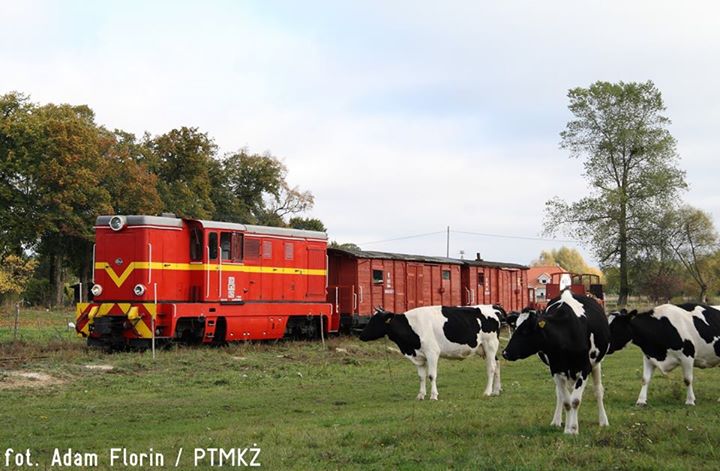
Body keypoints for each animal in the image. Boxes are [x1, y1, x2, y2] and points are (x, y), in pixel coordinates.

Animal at [358, 306, 504, 402]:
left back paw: (487, 392)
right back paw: (496, 391)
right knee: (497, 364)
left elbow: (431, 375)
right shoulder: (419, 356)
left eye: (375, 321)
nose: (361, 335)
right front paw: (421, 395)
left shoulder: (432, 353)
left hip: (490, 345)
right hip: (484, 349)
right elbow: (421, 377)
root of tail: (493, 307)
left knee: (491, 368)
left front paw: (434, 396)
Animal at [504, 290, 612, 436]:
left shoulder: (585, 369)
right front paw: (568, 429)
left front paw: (573, 429)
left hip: (596, 364)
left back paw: (603, 421)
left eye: (525, 330)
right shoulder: (555, 369)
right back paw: (557, 421)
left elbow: (575, 401)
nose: (505, 352)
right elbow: (567, 401)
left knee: (598, 390)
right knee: (561, 395)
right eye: (514, 327)